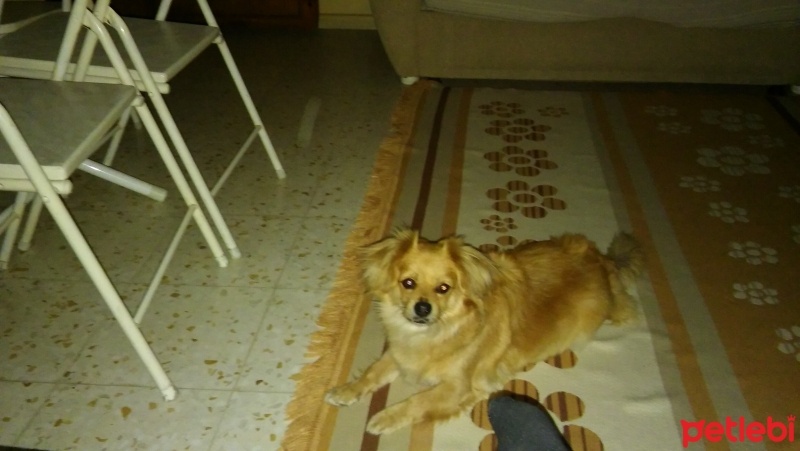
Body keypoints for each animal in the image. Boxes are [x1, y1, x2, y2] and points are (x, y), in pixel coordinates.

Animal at [324, 230, 644, 434]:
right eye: (408, 283)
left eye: (444, 288)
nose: (423, 308)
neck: (436, 333)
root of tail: (602, 261)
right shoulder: (400, 355)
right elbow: (373, 372)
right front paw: (347, 390)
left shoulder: (458, 387)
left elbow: (419, 401)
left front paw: (385, 418)